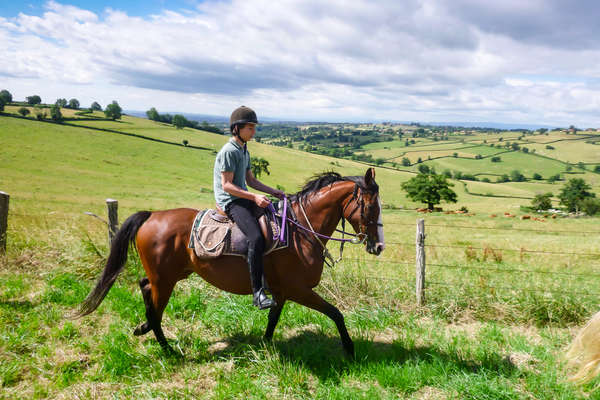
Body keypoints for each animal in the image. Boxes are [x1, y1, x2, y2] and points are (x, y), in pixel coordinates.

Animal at [75, 167, 384, 358]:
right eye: (371, 207)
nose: (378, 246)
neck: (299, 231)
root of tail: (152, 216)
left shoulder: (282, 291)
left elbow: (273, 319)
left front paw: (266, 346)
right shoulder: (298, 289)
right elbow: (336, 313)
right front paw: (350, 349)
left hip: (173, 274)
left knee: (144, 287)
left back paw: (143, 329)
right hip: (166, 280)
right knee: (155, 308)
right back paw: (166, 348)